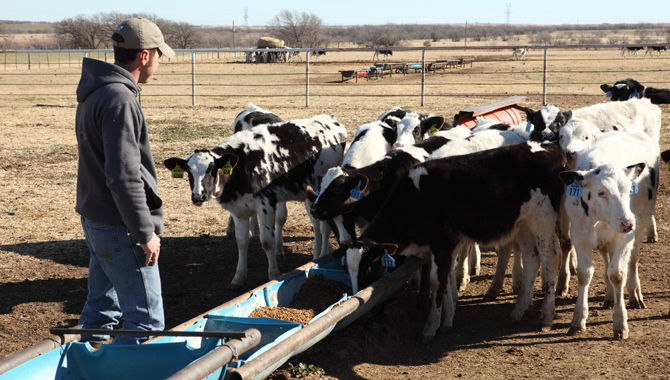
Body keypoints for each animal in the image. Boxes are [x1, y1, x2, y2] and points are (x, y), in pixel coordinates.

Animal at [165, 114, 350, 290]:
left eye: (211, 169)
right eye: (188, 172)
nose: (198, 197)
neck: (242, 165)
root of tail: (330, 119)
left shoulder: (265, 204)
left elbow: (267, 242)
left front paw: (273, 275)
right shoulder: (238, 209)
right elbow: (241, 242)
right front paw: (238, 278)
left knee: (323, 225)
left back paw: (320, 255)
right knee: (316, 223)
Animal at [334, 142, 568, 342]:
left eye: (367, 268)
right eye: (347, 270)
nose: (357, 302)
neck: (416, 198)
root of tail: (552, 149)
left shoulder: (443, 243)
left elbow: (437, 281)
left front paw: (431, 327)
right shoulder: (446, 246)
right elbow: (446, 279)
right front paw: (447, 319)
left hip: (543, 221)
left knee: (549, 261)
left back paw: (546, 317)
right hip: (523, 225)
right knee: (531, 259)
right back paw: (519, 309)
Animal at [560, 130, 660, 338]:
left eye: (629, 189)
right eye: (601, 192)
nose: (627, 222)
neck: (598, 218)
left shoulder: (624, 238)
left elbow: (617, 274)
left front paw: (620, 323)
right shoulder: (579, 234)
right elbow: (584, 274)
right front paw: (578, 319)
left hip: (640, 226)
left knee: (632, 262)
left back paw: (634, 294)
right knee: (608, 259)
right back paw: (609, 296)